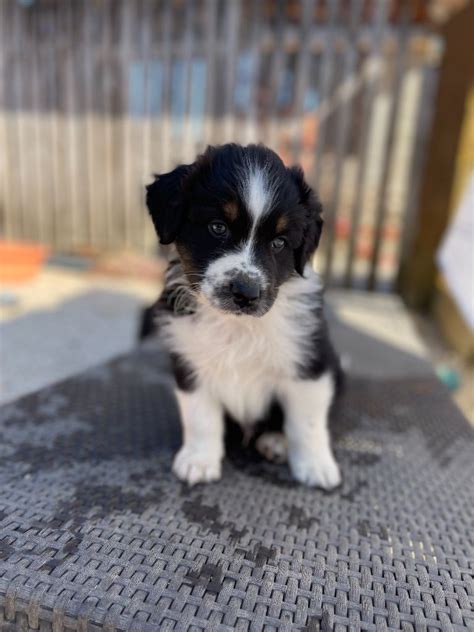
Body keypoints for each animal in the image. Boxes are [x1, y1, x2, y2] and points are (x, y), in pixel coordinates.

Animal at [146, 143, 342, 488]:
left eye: (279, 242)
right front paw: (199, 460)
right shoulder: (190, 362)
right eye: (217, 227)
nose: (245, 293)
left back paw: (276, 442)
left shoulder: (310, 361)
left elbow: (306, 422)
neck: (237, 325)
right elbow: (200, 417)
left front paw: (316, 465)